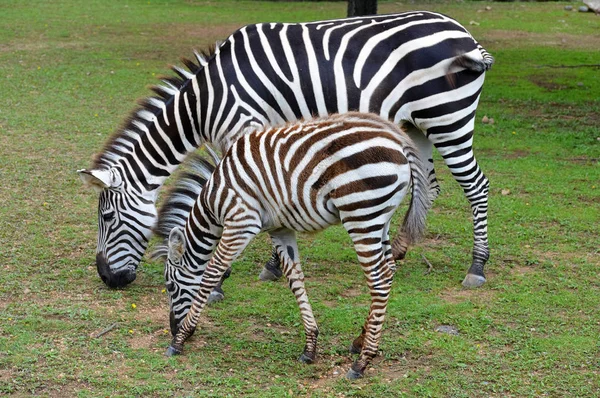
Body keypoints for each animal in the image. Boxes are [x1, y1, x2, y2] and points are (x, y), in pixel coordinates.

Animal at [77, 10, 494, 290]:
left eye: (107, 218)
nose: (107, 278)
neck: (204, 102)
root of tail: (464, 33)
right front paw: (270, 265)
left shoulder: (244, 128)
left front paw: (223, 274)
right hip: (417, 126)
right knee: (429, 185)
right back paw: (399, 251)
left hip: (449, 118)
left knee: (477, 186)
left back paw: (476, 267)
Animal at [150, 112, 432, 380]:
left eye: (170, 286)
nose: (173, 328)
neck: (214, 200)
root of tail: (398, 138)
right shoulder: (280, 229)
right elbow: (295, 280)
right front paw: (310, 346)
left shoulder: (242, 222)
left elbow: (211, 274)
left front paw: (179, 340)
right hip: (381, 219)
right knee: (390, 270)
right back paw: (360, 340)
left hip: (361, 215)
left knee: (379, 279)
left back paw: (362, 362)